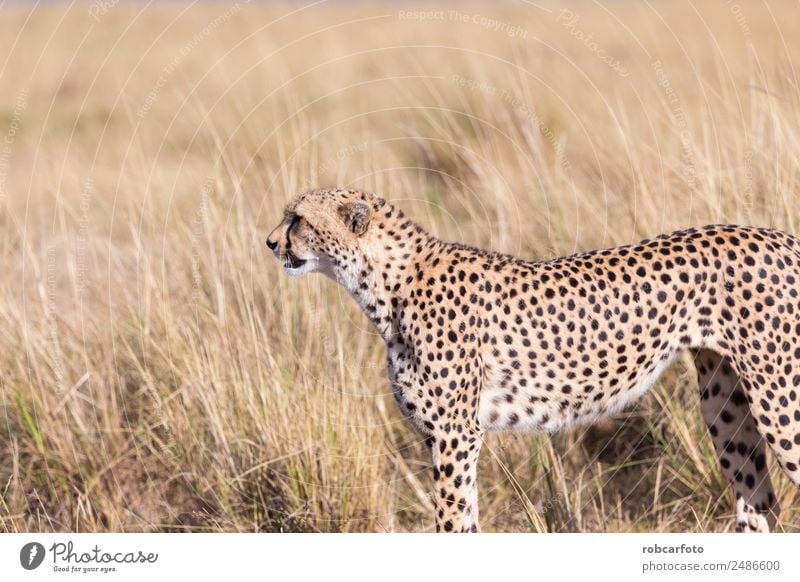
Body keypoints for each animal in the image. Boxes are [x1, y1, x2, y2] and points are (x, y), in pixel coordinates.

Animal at [268, 188, 800, 532]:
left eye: (297, 218)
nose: (270, 242)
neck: (387, 283)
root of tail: (780, 237)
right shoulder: (444, 437)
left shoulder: (455, 435)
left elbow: (452, 521)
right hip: (725, 406)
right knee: (760, 504)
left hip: (780, 399)